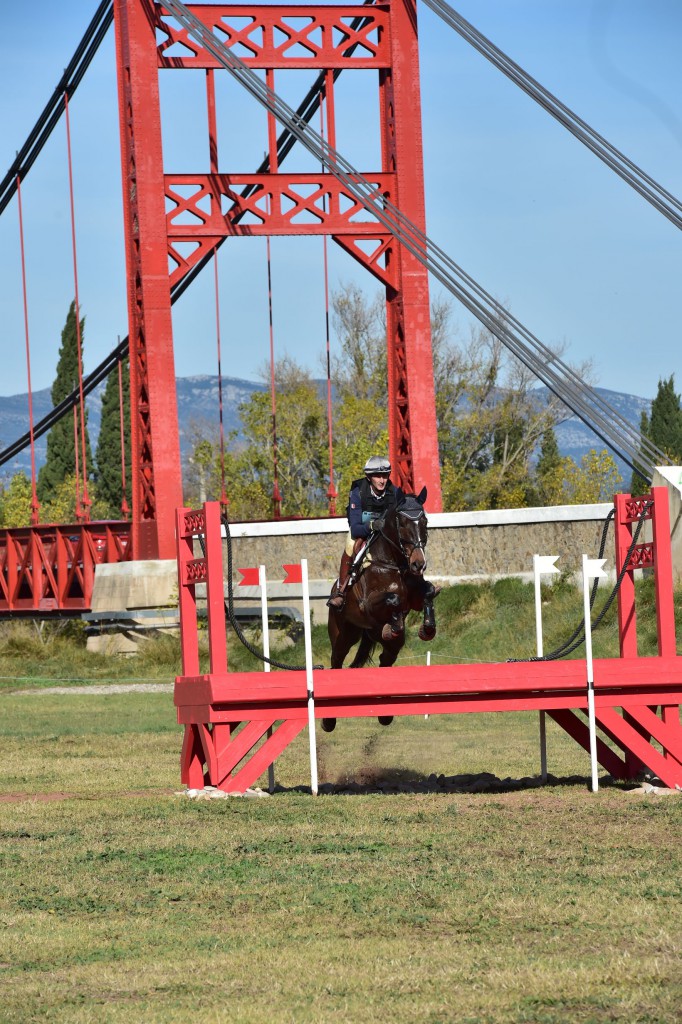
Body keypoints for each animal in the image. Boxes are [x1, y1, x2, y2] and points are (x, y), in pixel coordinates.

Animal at [325, 485, 440, 733]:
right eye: (402, 522)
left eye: (424, 521)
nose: (419, 564)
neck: (392, 563)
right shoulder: (368, 604)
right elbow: (394, 599)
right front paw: (396, 622)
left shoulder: (415, 595)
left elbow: (427, 591)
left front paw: (427, 629)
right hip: (344, 633)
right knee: (336, 661)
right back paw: (328, 721)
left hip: (379, 639)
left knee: (385, 658)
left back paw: (385, 713)